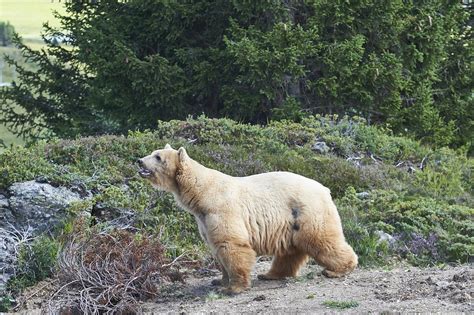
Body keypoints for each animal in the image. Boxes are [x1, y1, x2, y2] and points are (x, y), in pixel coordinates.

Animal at [139, 144, 358, 296]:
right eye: (152, 152)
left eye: (158, 156)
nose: (139, 161)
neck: (202, 193)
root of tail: (325, 189)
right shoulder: (203, 219)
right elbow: (216, 247)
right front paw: (220, 280)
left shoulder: (221, 209)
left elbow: (231, 243)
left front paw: (233, 288)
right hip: (291, 221)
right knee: (291, 249)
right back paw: (271, 274)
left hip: (307, 211)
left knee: (321, 239)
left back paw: (337, 270)